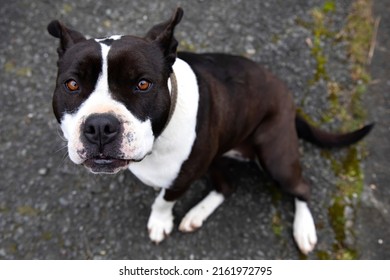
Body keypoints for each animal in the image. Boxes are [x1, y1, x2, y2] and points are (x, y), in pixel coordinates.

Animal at [47, 8, 374, 254]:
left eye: (142, 84)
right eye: (72, 84)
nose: (100, 126)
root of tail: (290, 100)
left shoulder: (183, 177)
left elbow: (164, 200)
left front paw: (159, 221)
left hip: (275, 157)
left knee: (302, 187)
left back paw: (304, 230)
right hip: (217, 154)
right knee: (227, 185)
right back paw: (197, 214)